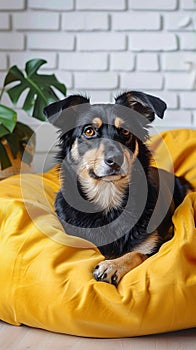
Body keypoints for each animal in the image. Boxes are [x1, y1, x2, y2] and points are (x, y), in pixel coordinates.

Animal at [43, 91, 191, 286]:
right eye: (89, 131)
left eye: (125, 131)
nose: (115, 159)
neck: (108, 196)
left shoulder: (156, 246)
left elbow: (137, 254)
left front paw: (112, 266)